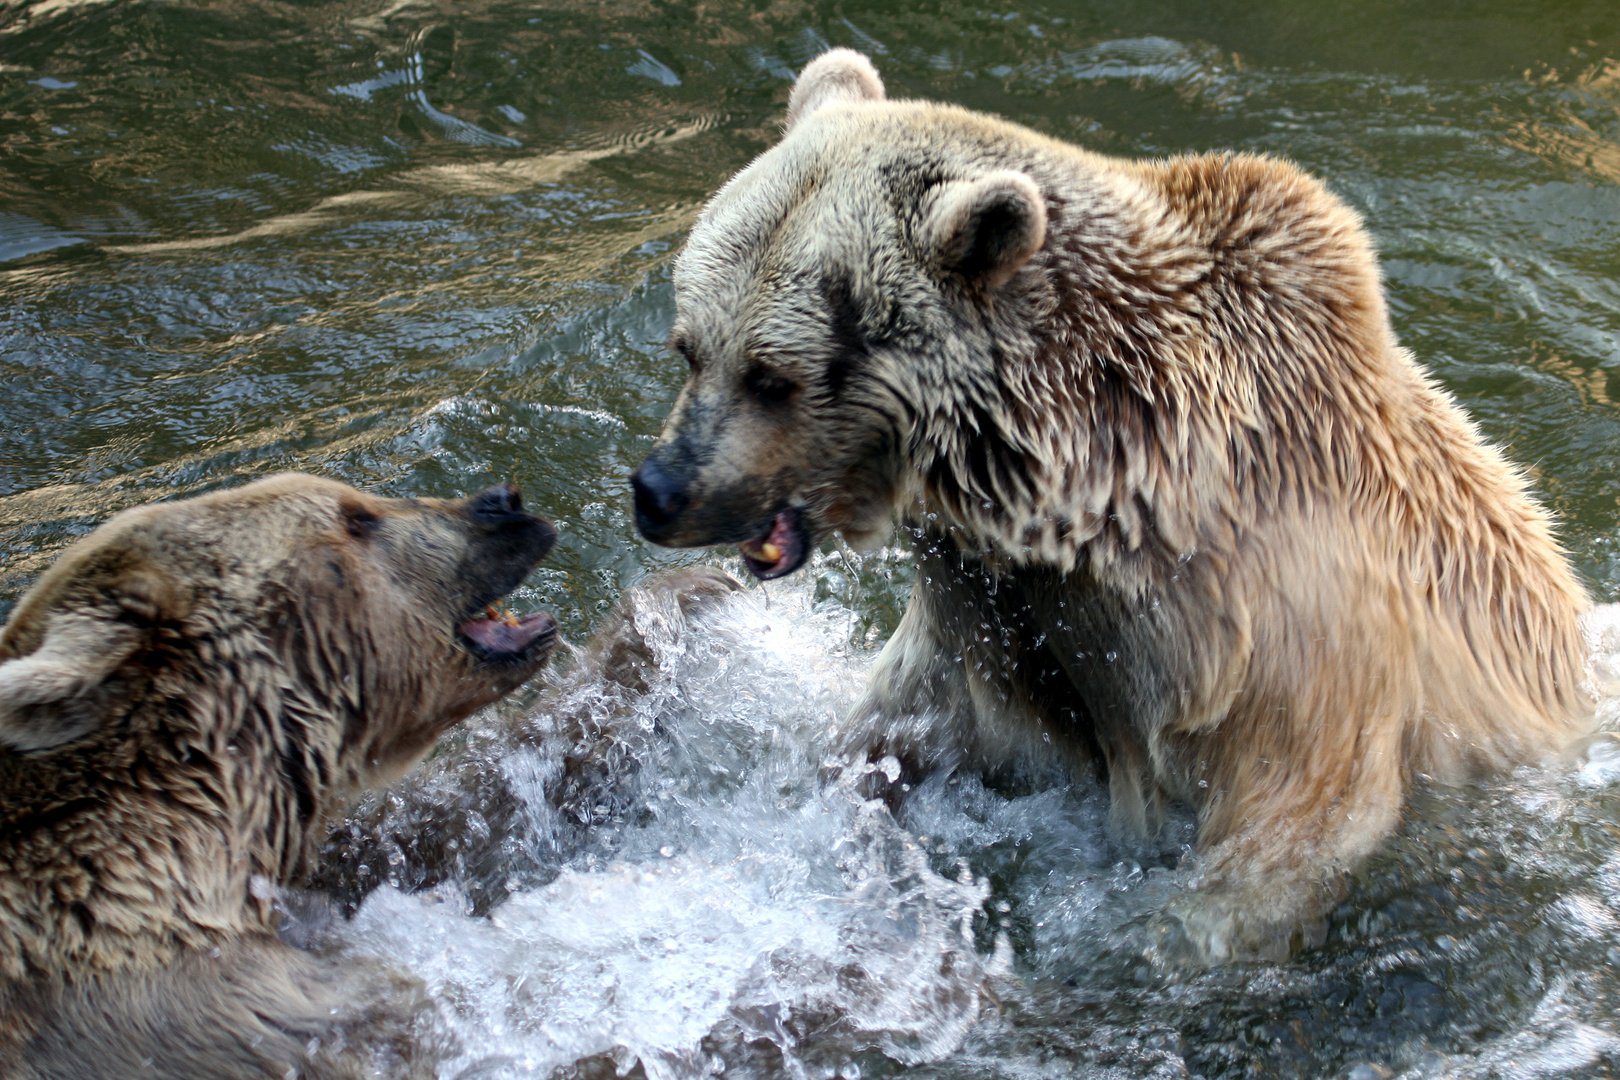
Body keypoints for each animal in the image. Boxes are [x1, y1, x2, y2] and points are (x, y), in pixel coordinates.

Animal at [631, 48, 1594, 965]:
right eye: (689, 347)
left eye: (771, 376)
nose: (660, 491)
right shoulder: (989, 616)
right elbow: (898, 730)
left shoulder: (1291, 633)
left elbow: (1293, 819)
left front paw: (1158, 941)